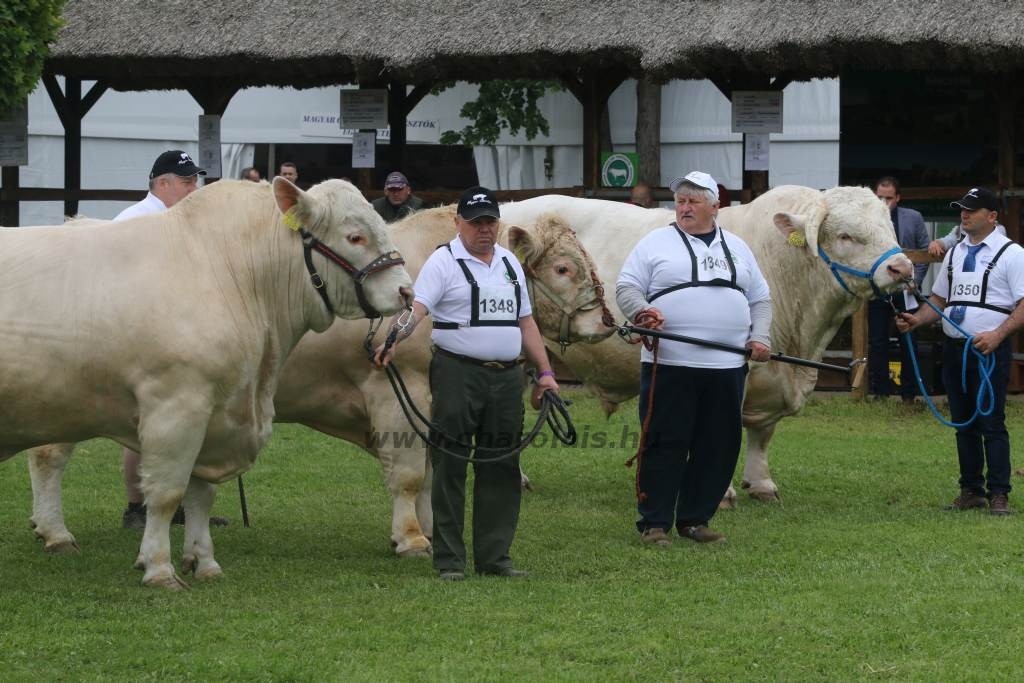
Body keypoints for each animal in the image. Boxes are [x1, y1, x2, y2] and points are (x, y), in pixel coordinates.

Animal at [4, 178, 411, 589]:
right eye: (355, 236)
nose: (407, 292)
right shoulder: (175, 407)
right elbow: (167, 493)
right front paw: (159, 568)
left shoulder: (218, 415)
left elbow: (201, 494)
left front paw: (204, 561)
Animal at [25, 206, 614, 557]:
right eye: (563, 268)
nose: (605, 321)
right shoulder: (396, 390)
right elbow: (408, 473)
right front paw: (410, 537)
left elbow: (429, 469)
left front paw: (428, 528)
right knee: (48, 455)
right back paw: (55, 531)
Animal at [499, 187, 917, 507]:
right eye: (846, 235)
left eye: (887, 227)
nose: (902, 268)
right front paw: (722, 492)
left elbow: (763, 434)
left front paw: (761, 483)